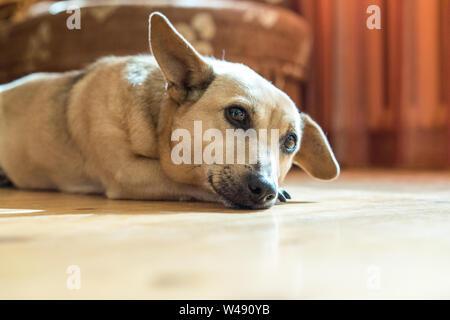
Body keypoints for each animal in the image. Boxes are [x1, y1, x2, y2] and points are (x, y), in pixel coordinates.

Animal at [0, 12, 338, 209]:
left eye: (290, 142)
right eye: (237, 114)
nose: (266, 189)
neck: (157, 120)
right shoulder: (130, 173)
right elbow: (186, 181)